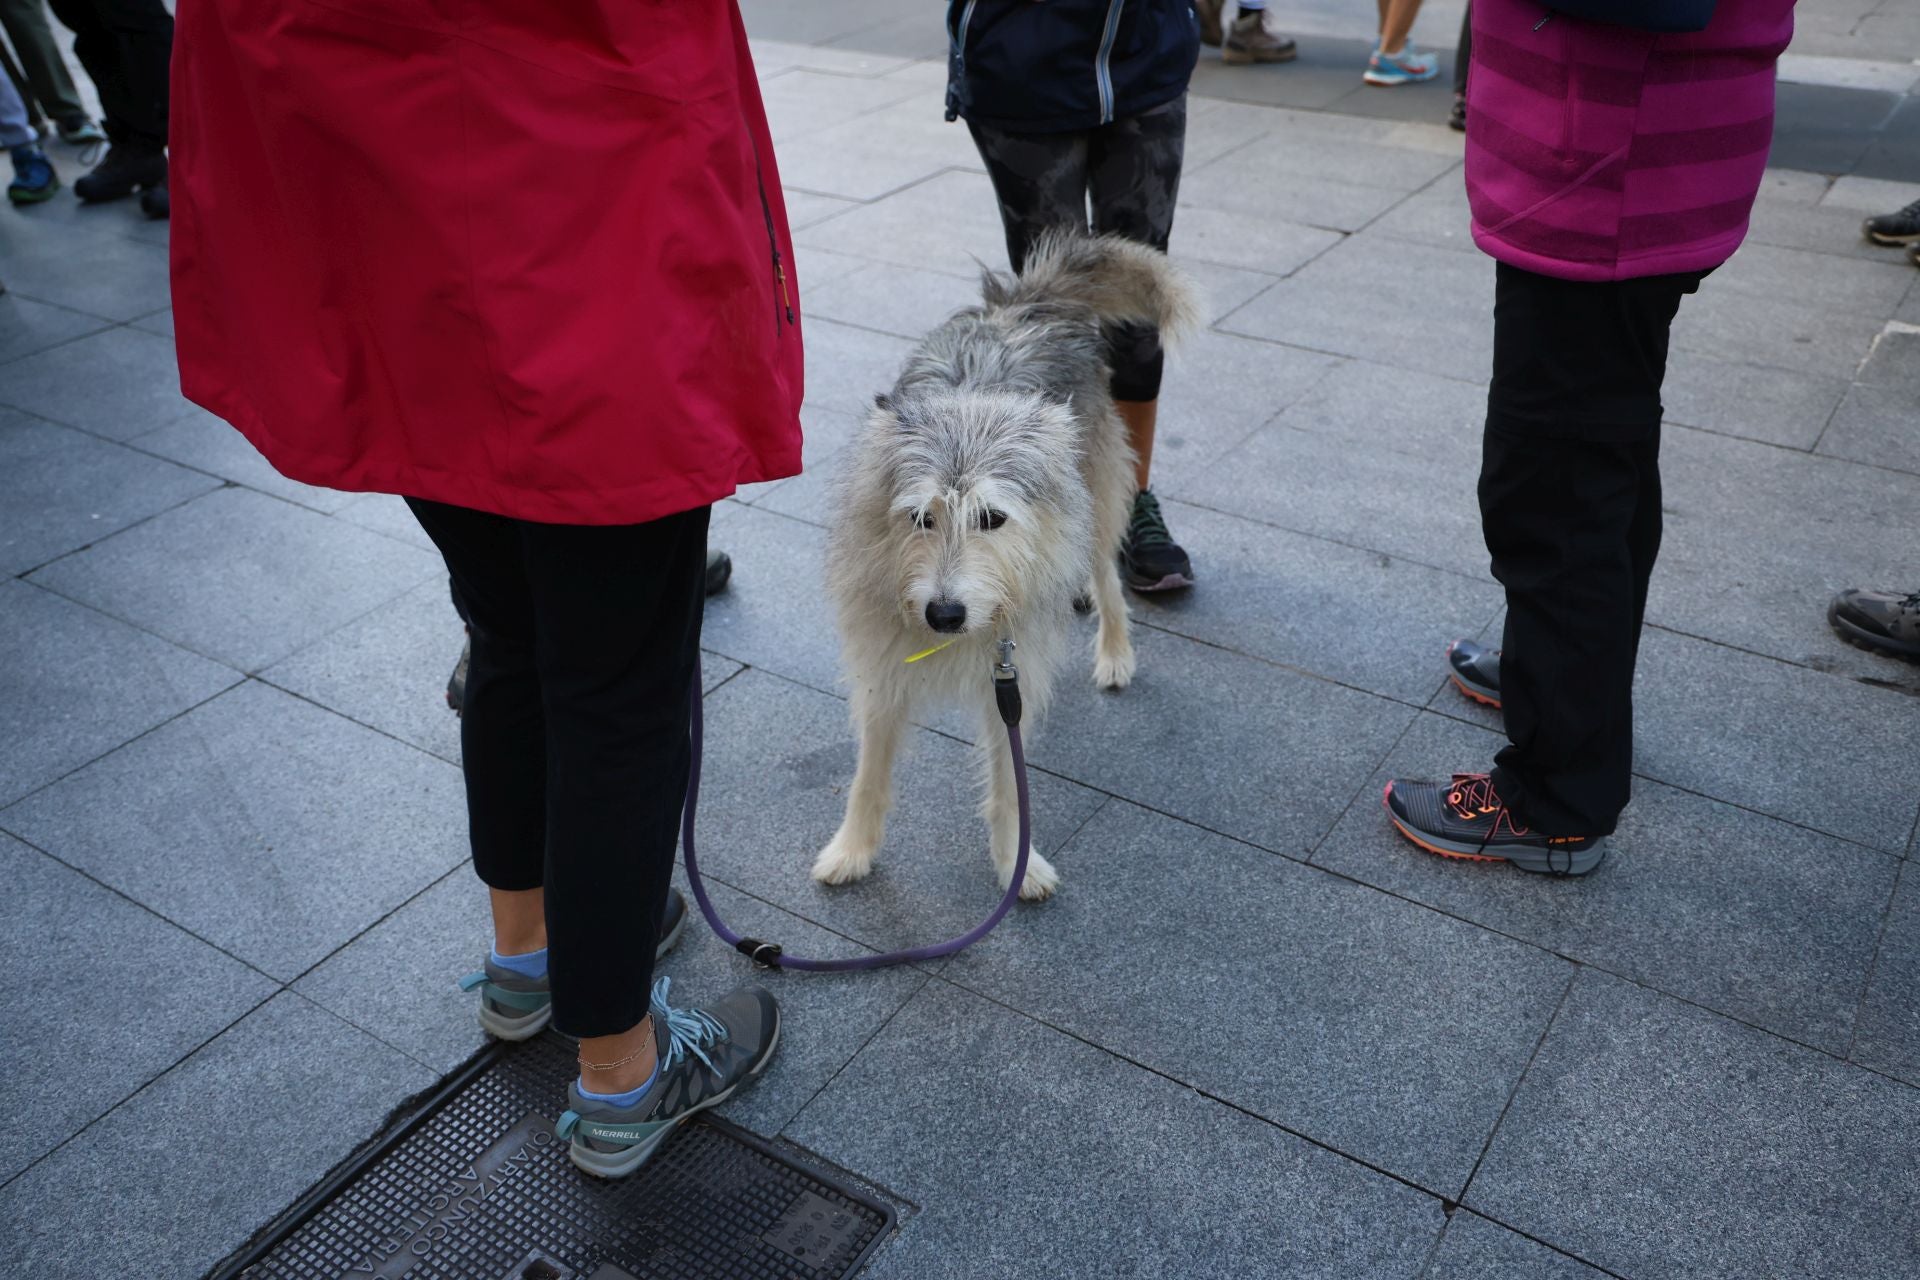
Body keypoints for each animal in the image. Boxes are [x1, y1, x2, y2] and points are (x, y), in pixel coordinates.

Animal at [814, 235, 1198, 905]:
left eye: (991, 518)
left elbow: (1007, 785)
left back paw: (1115, 651)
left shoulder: (1007, 684)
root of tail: (1019, 303)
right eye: (921, 517)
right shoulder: (881, 670)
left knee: (1106, 576)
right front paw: (852, 850)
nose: (943, 614)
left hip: (1097, 507)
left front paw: (1018, 865)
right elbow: (869, 772)